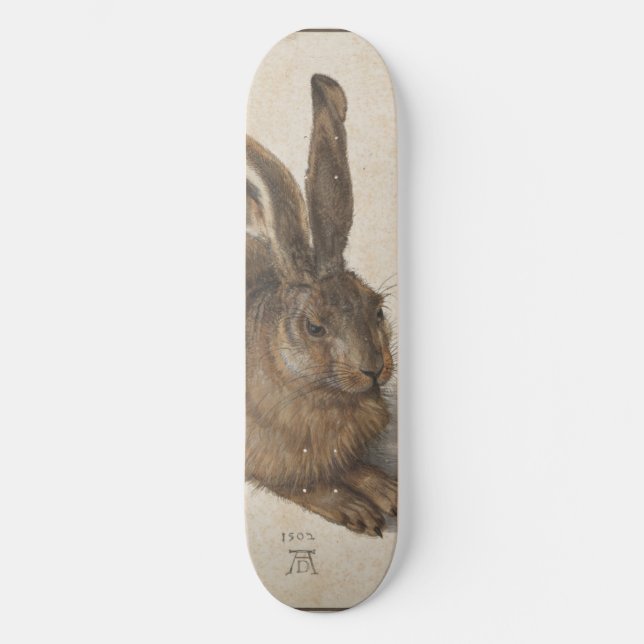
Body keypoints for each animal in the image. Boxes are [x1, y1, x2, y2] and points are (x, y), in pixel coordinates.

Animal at [246, 74, 397, 537]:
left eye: (377, 309)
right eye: (314, 327)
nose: (373, 369)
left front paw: (385, 489)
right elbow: (309, 485)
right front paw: (360, 508)